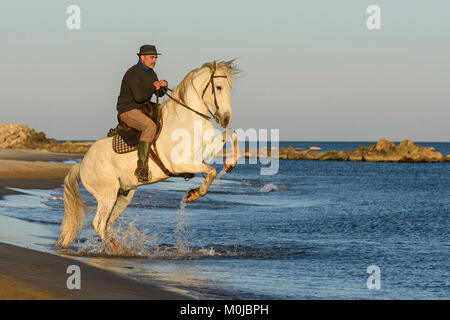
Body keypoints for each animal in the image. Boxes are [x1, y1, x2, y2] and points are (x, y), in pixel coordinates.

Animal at [57, 60, 241, 250]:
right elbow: (211, 171)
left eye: (229, 88)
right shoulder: (180, 164)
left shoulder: (205, 154)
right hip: (107, 194)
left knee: (108, 224)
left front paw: (230, 164)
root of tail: (82, 164)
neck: (187, 120)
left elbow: (232, 134)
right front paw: (194, 194)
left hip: (124, 195)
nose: (226, 118)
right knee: (99, 224)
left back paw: (118, 248)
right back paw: (115, 250)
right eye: (218, 87)